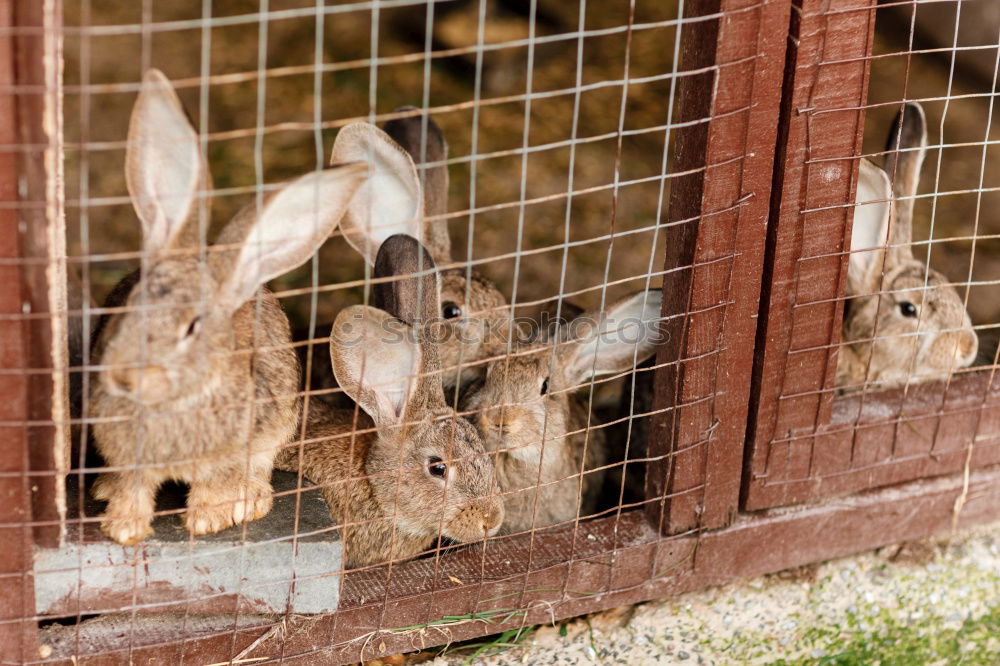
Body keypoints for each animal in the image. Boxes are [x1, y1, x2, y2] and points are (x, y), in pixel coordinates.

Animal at [88, 68, 370, 544]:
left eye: (192, 328)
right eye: (128, 306)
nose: (125, 377)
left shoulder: (236, 447)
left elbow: (215, 484)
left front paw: (208, 520)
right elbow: (133, 488)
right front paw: (124, 528)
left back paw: (251, 500)